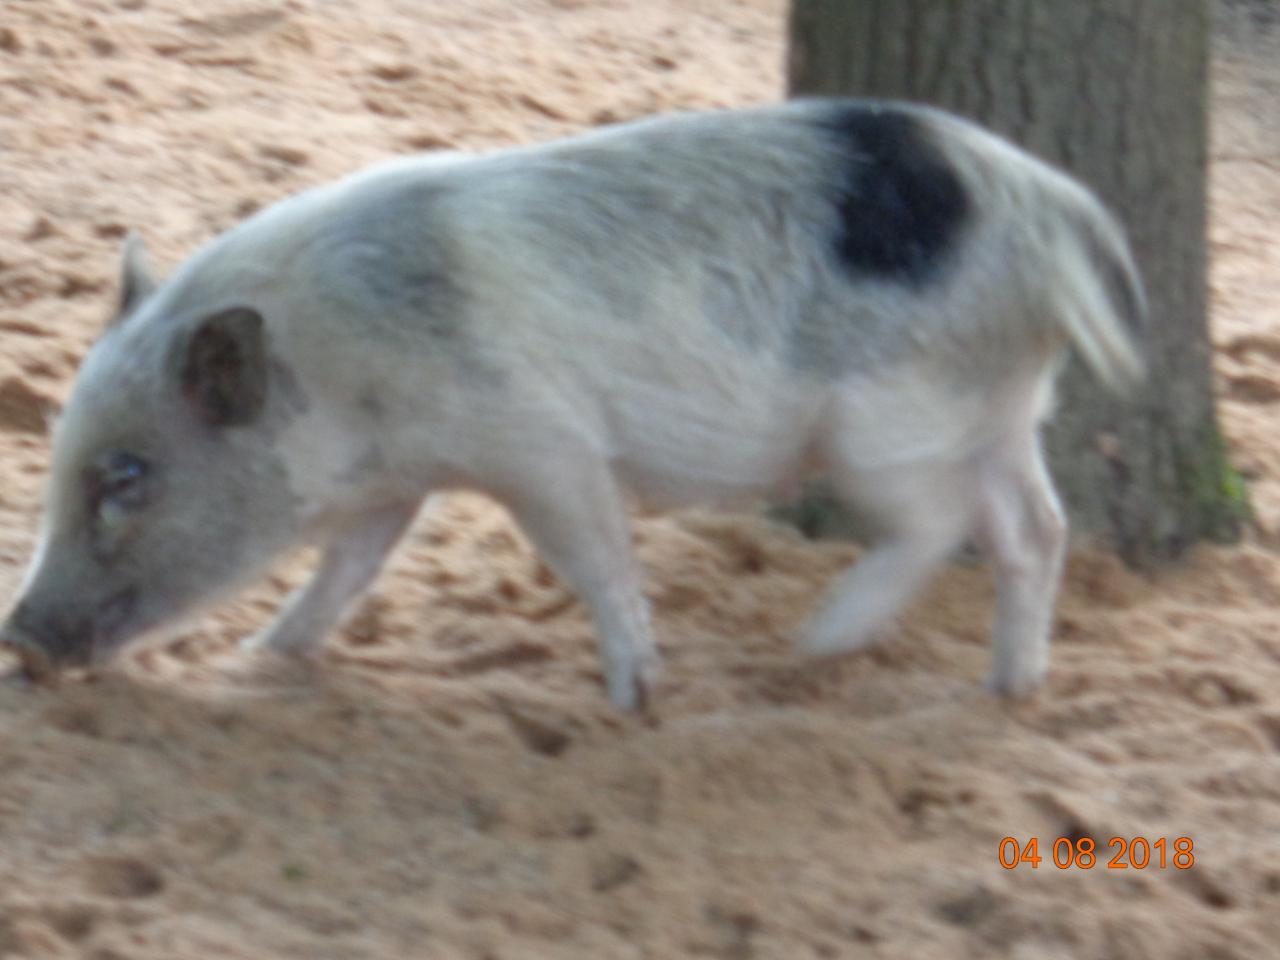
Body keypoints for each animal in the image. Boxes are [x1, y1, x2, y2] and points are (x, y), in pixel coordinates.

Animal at [0, 98, 1144, 709]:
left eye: (126, 476)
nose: (18, 635)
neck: (340, 368)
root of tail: (1047, 204)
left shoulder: (537, 441)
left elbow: (591, 553)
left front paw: (636, 697)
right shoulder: (394, 476)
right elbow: (348, 568)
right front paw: (261, 658)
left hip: (885, 425)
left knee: (943, 522)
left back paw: (818, 642)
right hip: (999, 407)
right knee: (1035, 527)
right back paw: (1012, 688)